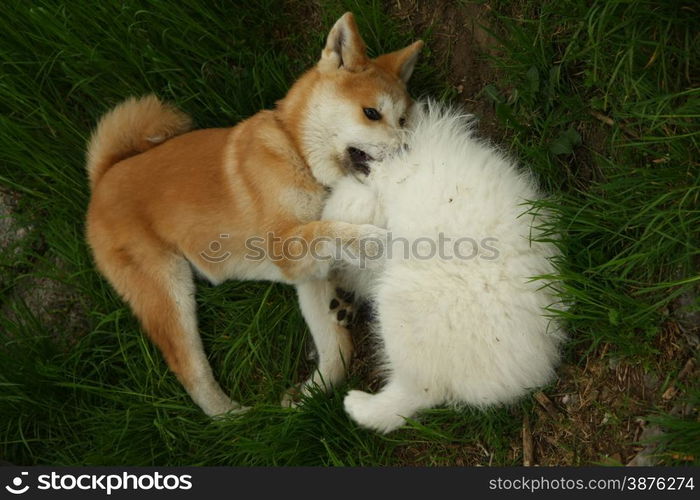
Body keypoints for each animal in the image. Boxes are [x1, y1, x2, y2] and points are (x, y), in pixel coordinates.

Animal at [82, 13, 422, 416]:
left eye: (403, 120)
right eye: (371, 113)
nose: (409, 151)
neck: (295, 153)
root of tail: (104, 176)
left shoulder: (308, 277)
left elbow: (337, 351)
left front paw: (306, 396)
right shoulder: (284, 247)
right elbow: (331, 231)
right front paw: (375, 241)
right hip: (167, 290)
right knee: (190, 370)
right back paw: (232, 417)